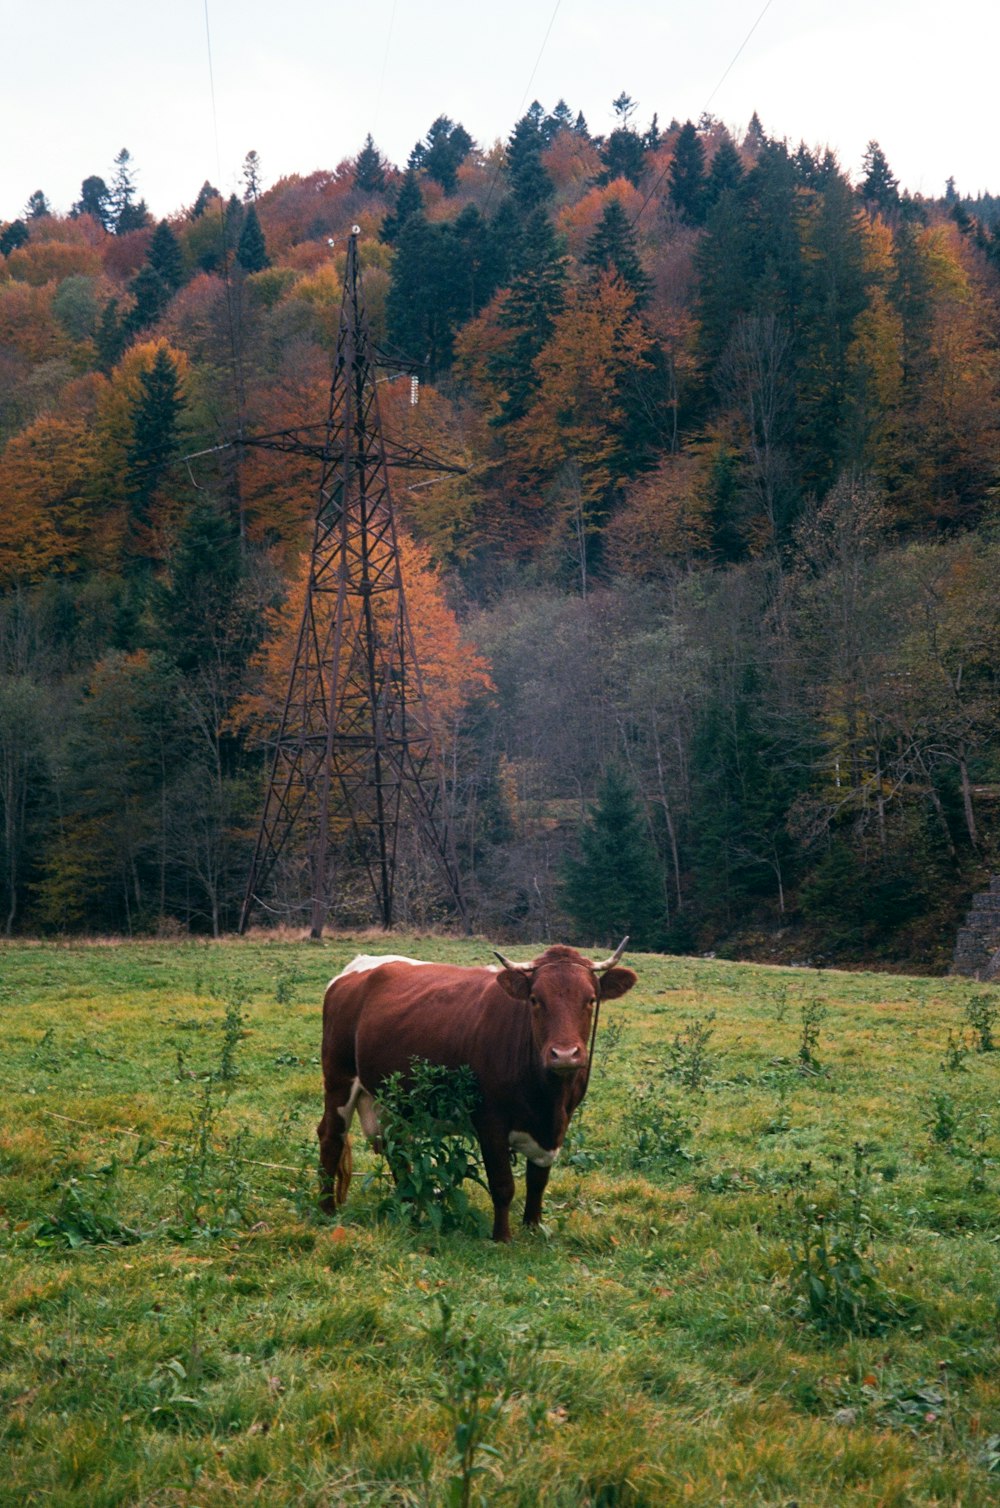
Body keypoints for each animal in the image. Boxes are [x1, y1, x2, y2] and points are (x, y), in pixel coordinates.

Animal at [316, 940, 636, 1236]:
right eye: (535, 999)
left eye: (591, 999)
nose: (566, 1054)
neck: (548, 1101)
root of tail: (357, 966)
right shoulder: (490, 1120)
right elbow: (503, 1184)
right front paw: (502, 1237)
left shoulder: (556, 1126)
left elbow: (538, 1180)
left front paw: (533, 1228)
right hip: (339, 1076)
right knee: (331, 1136)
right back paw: (326, 1209)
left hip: (389, 1098)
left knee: (396, 1147)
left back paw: (409, 1208)